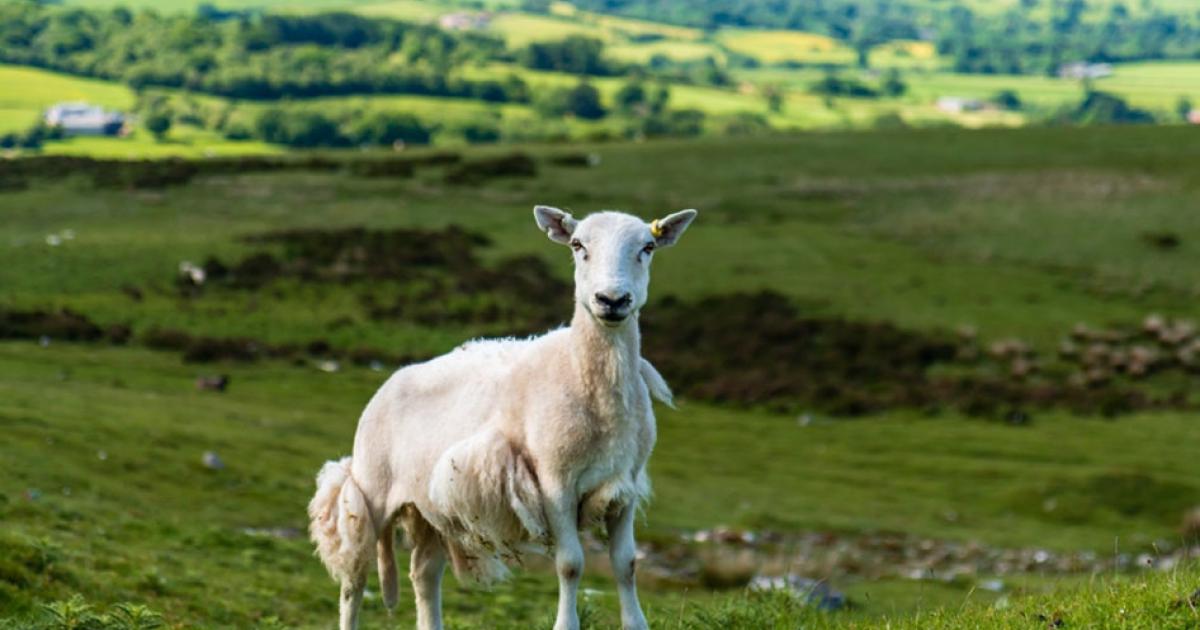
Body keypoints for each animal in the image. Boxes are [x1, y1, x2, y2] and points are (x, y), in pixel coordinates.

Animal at [307, 206, 697, 630]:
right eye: (578, 246)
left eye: (647, 247)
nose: (612, 299)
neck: (583, 374)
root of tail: (392, 380)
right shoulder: (554, 482)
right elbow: (570, 564)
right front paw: (566, 624)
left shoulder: (624, 484)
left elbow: (626, 564)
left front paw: (635, 622)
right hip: (370, 490)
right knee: (354, 579)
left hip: (431, 507)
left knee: (424, 573)